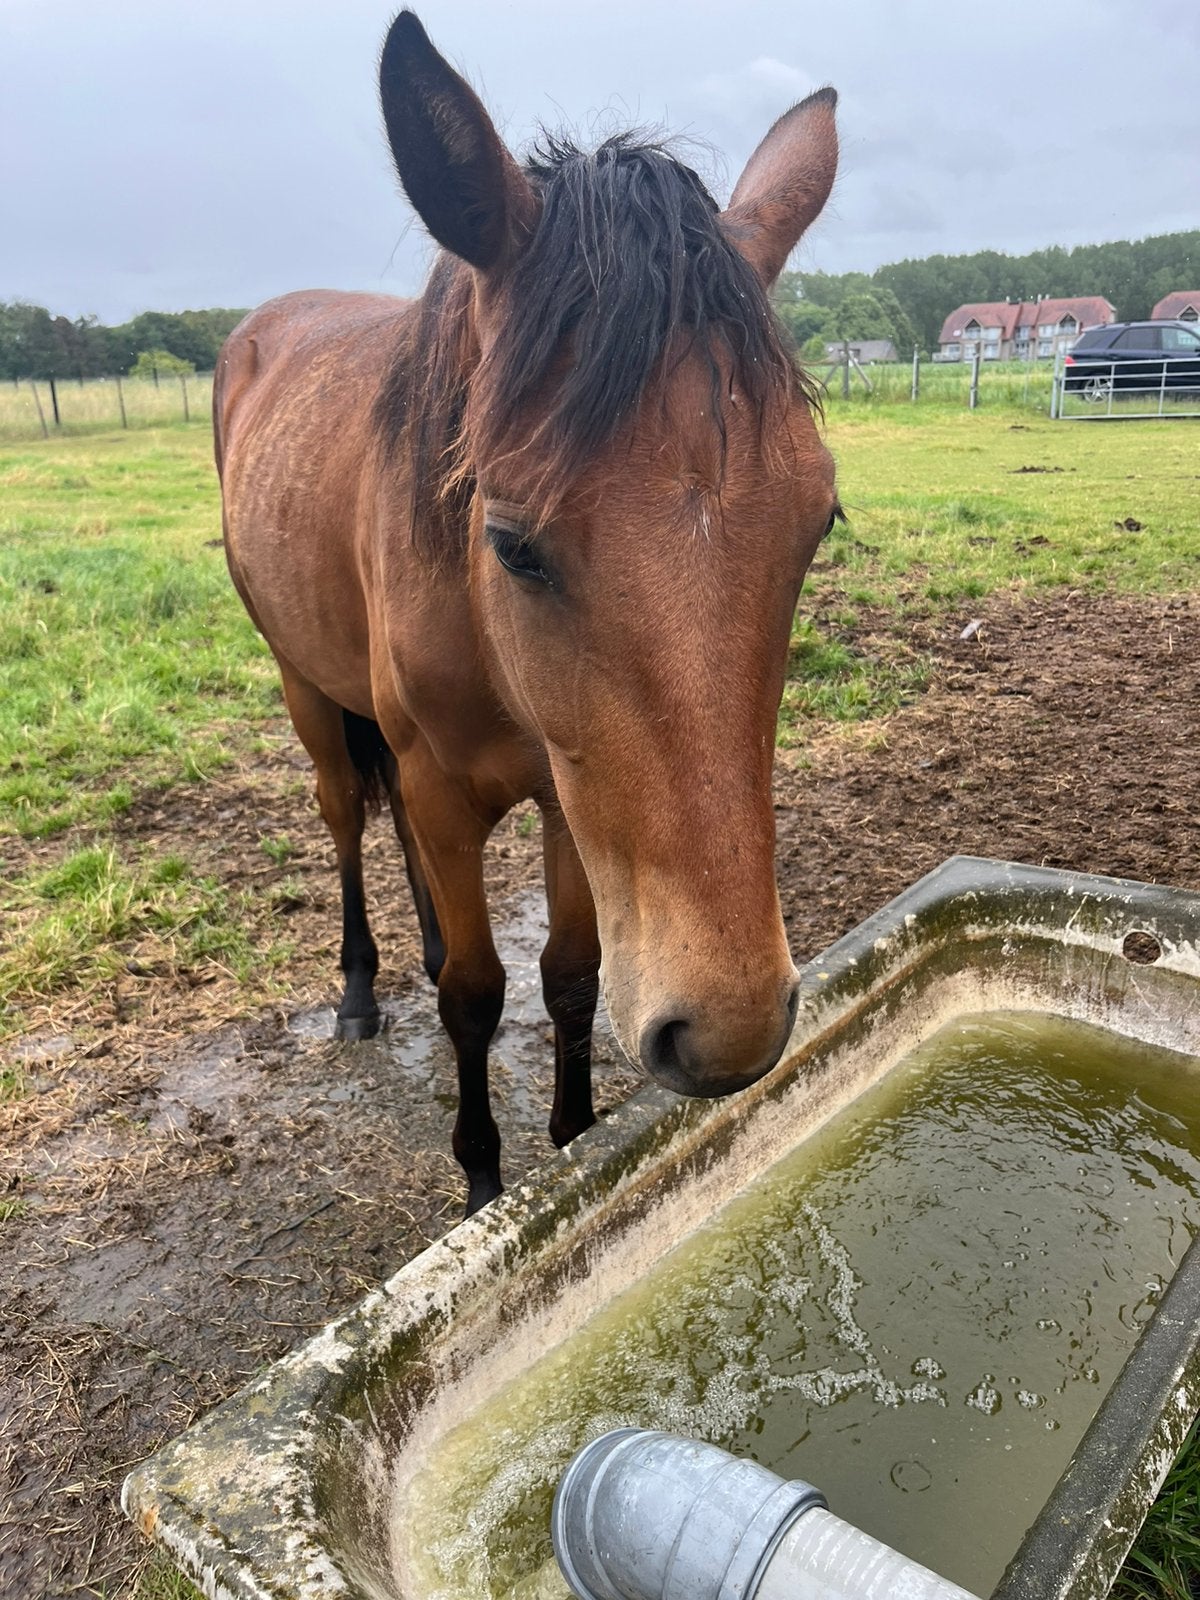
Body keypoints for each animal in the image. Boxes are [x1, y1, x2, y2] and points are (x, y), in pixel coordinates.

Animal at [213, 10, 840, 1215]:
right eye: (512, 543)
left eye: (818, 524)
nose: (731, 1030)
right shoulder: (446, 784)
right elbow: (475, 991)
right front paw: (482, 1182)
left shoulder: (569, 794)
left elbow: (570, 979)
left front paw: (573, 1140)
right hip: (303, 684)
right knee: (345, 817)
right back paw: (361, 989)